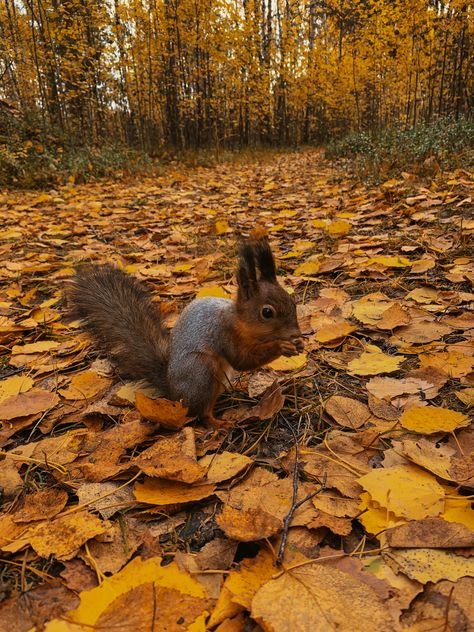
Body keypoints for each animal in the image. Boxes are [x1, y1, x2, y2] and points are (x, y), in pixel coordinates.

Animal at [67, 235, 304, 428]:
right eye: (267, 312)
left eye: (292, 300)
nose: (296, 334)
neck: (239, 321)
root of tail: (173, 393)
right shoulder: (223, 334)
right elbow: (242, 360)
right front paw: (282, 346)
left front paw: (298, 344)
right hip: (201, 370)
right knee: (200, 413)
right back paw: (220, 424)